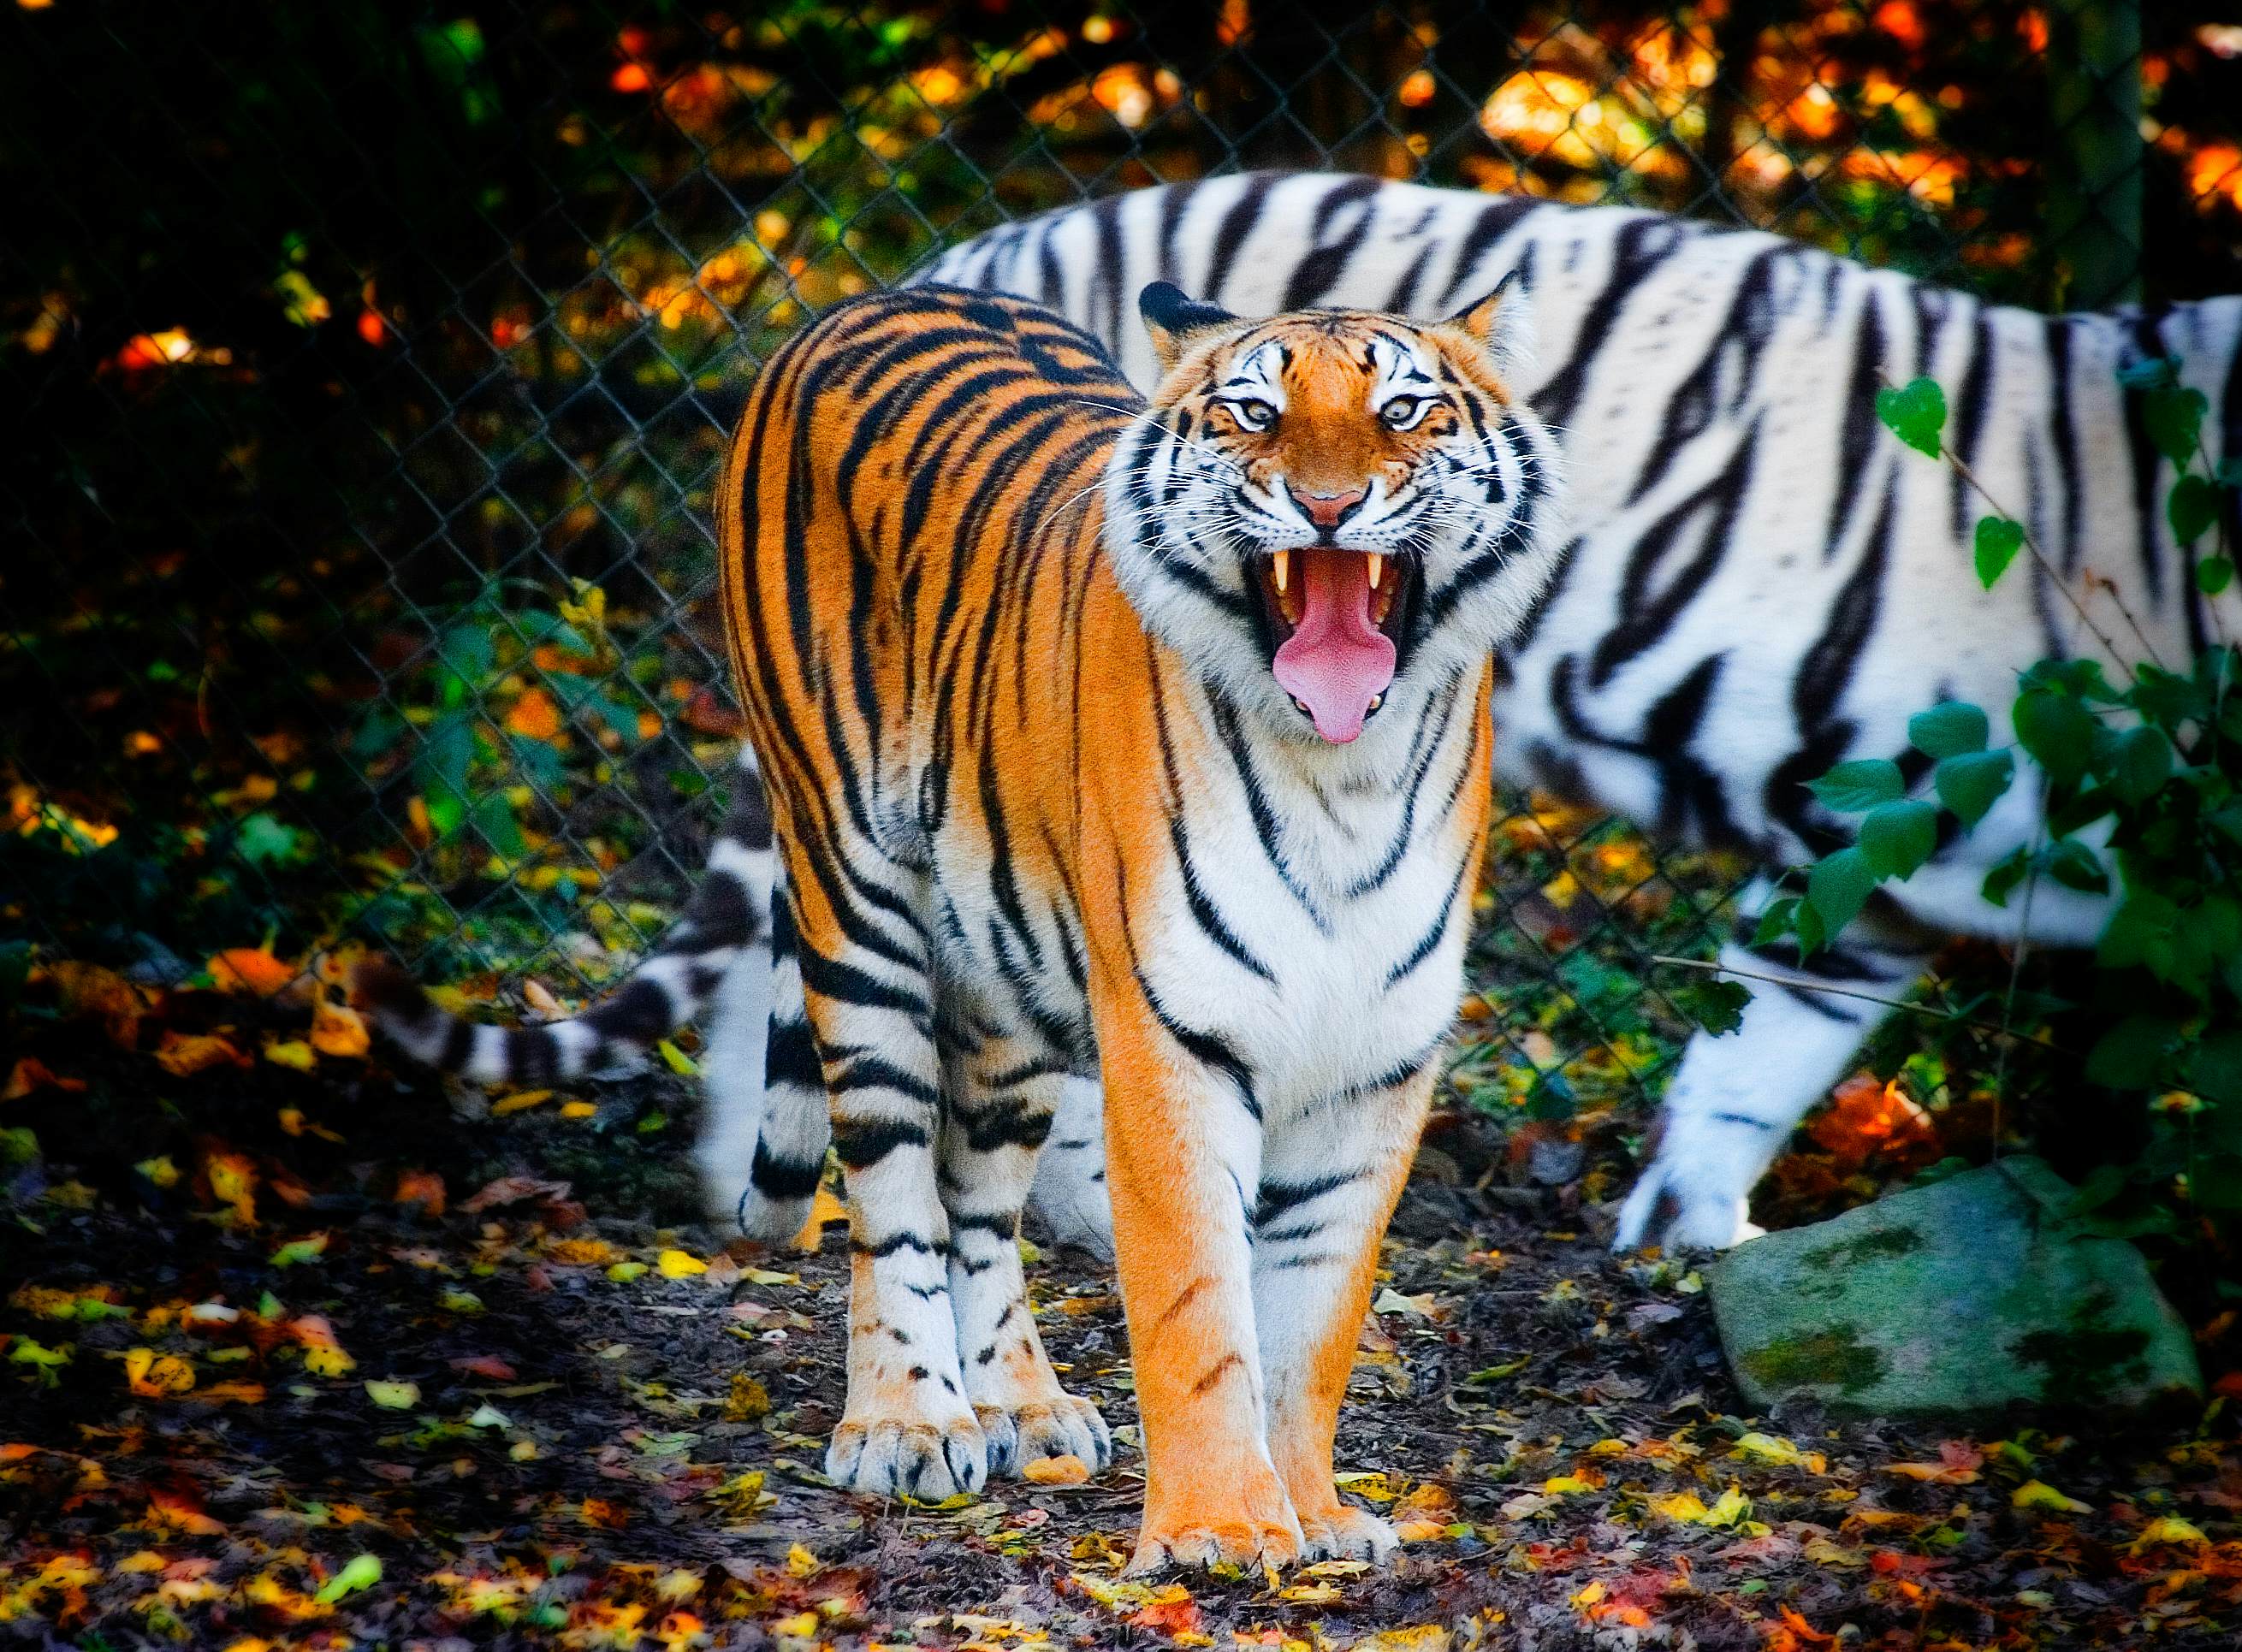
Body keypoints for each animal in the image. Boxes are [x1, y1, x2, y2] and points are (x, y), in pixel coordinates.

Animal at [377, 276, 1564, 1567]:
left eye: (1404, 410)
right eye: (1254, 412)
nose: (1329, 505)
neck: (1344, 774)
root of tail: (882, 293)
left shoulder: (1380, 1062)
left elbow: (1314, 1317)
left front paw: (1316, 1513)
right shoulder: (1174, 1038)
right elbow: (1199, 1301)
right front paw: (1219, 1527)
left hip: (1007, 980)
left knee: (977, 1199)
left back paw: (1022, 1408)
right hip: (855, 901)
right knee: (891, 1191)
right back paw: (906, 1420)